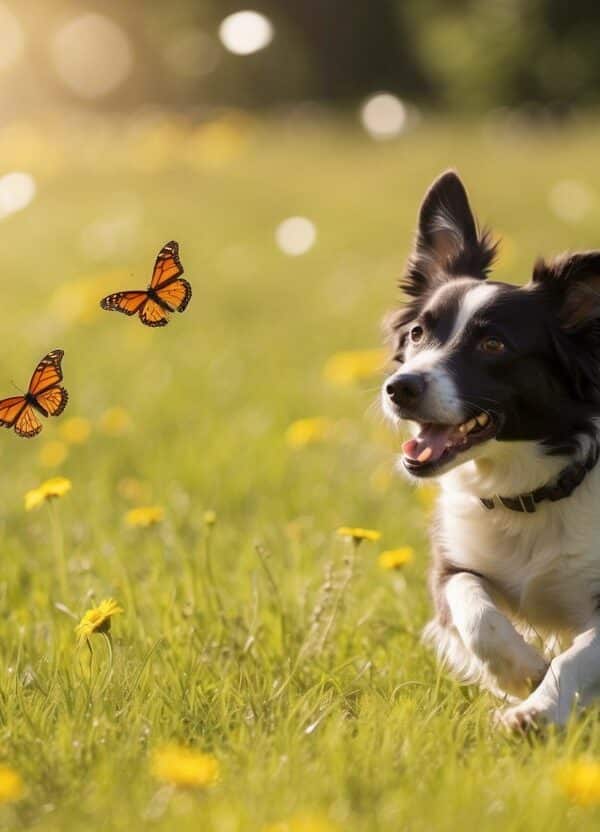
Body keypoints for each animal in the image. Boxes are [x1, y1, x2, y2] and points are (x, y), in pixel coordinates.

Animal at [382, 169, 600, 728]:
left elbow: (578, 656)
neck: (530, 496)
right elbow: (472, 606)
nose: (399, 388)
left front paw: (536, 710)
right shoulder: (452, 560)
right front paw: (519, 672)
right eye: (418, 333)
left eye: (493, 345)